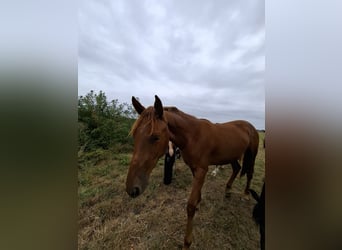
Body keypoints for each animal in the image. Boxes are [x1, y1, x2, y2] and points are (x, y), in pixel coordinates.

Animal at [125, 95, 260, 248]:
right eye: (135, 135)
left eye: (155, 137)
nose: (132, 189)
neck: (193, 136)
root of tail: (249, 126)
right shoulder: (194, 168)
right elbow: (196, 197)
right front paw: (199, 203)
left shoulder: (202, 170)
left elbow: (190, 206)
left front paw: (187, 242)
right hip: (231, 155)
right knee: (236, 168)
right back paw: (228, 190)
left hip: (252, 154)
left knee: (250, 173)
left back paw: (245, 194)